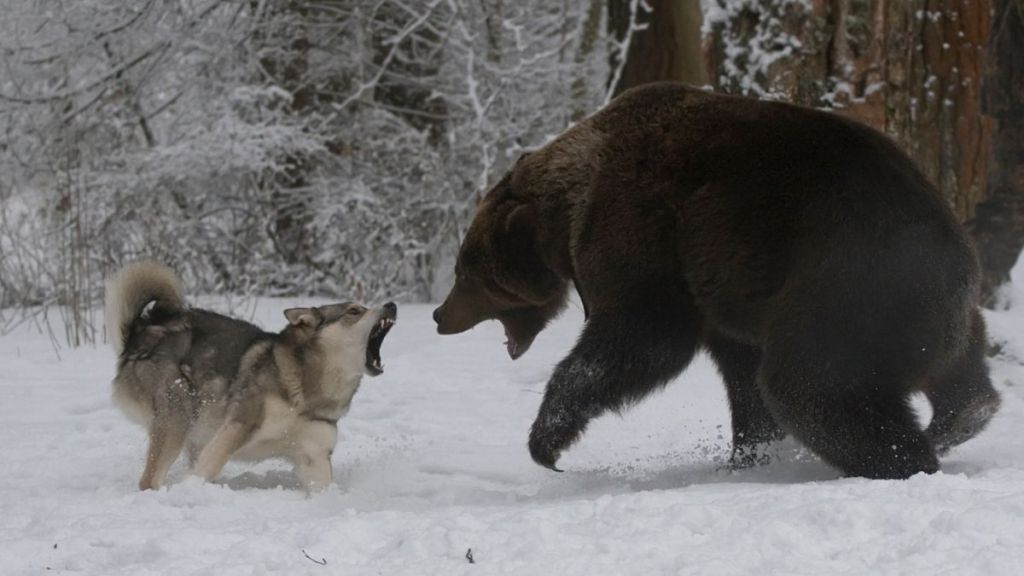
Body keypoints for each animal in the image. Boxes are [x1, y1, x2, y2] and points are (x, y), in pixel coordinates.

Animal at [103, 261, 391, 487]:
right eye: (355, 311)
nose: (391, 305)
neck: (307, 388)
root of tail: (138, 334)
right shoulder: (238, 426)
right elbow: (206, 468)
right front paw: (190, 490)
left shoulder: (316, 456)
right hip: (178, 416)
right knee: (149, 480)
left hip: (198, 427)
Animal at [430, 79, 999, 475]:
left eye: (464, 271)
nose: (439, 314)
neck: (567, 211)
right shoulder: (727, 292)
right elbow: (741, 378)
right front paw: (749, 452)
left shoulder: (644, 231)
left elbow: (643, 336)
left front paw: (546, 441)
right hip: (939, 308)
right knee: (960, 375)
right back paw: (961, 417)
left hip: (845, 286)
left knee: (812, 386)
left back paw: (903, 459)